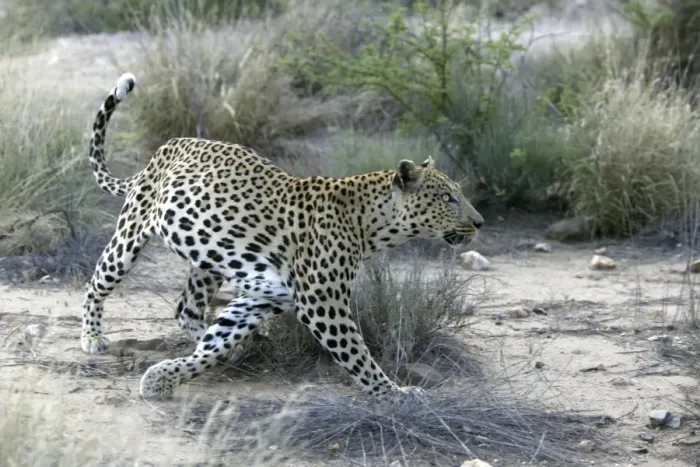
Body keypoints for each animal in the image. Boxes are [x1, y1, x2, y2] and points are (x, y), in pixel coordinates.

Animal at [81, 73, 484, 403]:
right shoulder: (323, 305)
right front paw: (394, 393)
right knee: (97, 283)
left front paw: (162, 379)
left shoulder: (263, 298)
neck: (369, 226)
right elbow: (358, 355)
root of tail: (167, 147)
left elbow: (215, 344)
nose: (480, 222)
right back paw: (91, 336)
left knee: (187, 308)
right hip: (130, 236)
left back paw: (228, 345)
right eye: (448, 198)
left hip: (208, 261)